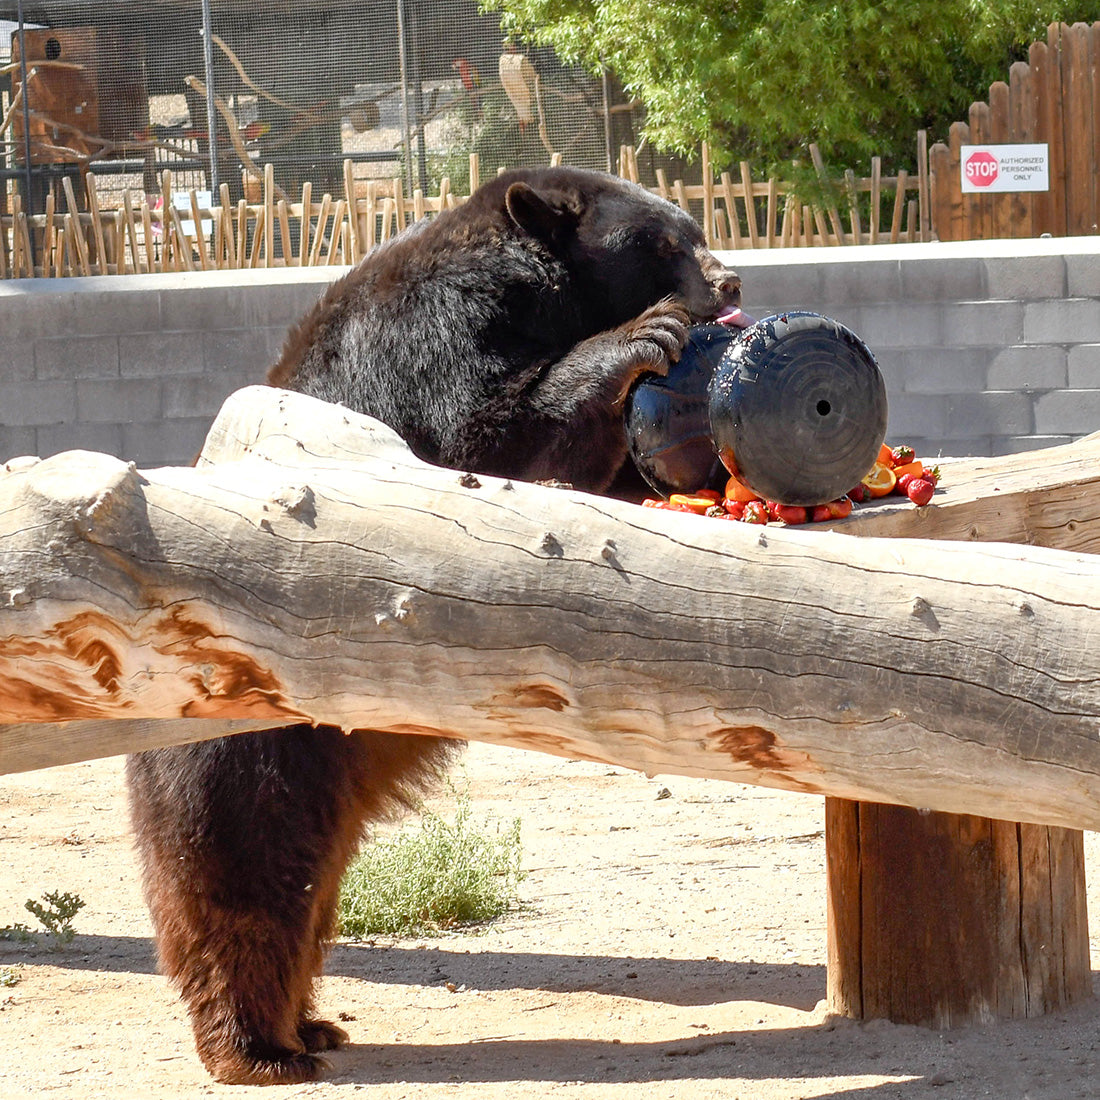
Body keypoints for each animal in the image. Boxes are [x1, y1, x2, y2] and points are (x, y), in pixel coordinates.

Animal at [124, 167, 743, 1086]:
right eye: (663, 242)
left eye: (694, 226)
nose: (729, 282)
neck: (530, 297)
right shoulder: (432, 343)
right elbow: (484, 438)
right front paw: (643, 335)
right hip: (247, 745)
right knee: (246, 882)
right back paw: (257, 1047)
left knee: (312, 890)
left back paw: (312, 1025)